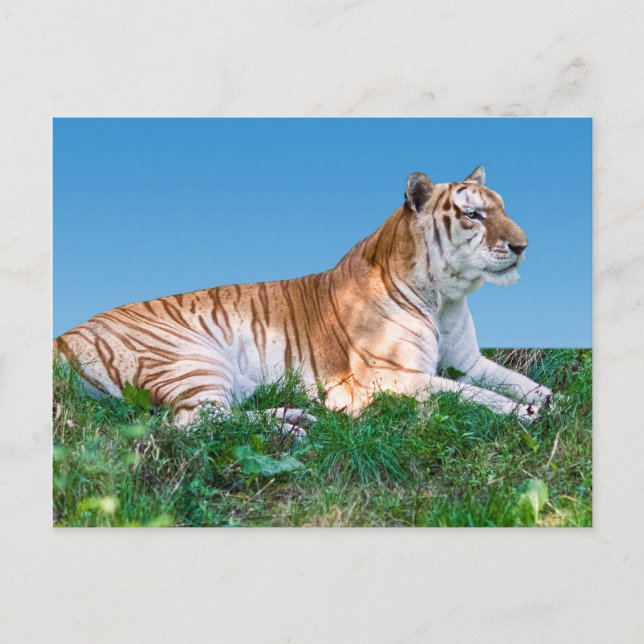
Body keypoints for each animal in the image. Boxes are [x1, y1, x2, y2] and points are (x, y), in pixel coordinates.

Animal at [54, 165, 553, 434]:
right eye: (473, 214)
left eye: (502, 207)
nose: (524, 245)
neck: (443, 297)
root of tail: (64, 335)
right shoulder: (390, 375)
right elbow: (470, 395)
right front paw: (525, 413)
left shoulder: (466, 359)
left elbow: (511, 379)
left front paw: (549, 399)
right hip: (192, 360)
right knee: (193, 424)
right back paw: (292, 428)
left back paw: (297, 414)